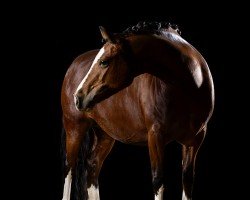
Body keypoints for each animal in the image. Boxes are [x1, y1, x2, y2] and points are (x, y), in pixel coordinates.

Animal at [61, 21, 215, 199]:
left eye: (104, 62)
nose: (78, 97)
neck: (191, 86)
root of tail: (73, 65)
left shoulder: (194, 140)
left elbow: (187, 181)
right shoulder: (156, 135)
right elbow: (158, 181)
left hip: (105, 134)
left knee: (92, 166)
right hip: (74, 128)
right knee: (69, 168)